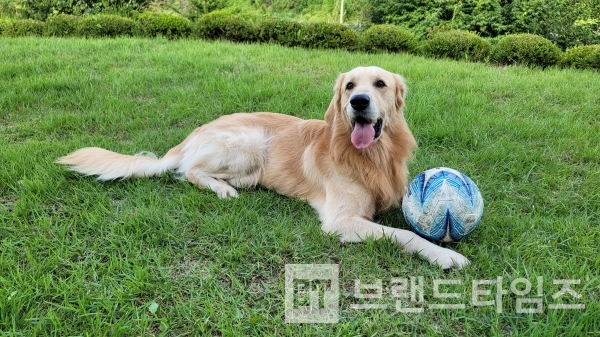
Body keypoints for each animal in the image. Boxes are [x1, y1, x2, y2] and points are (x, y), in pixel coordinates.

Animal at [57, 67, 468, 270]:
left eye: (379, 84)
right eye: (350, 85)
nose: (359, 101)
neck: (371, 157)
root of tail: (193, 133)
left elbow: (409, 216)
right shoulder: (343, 220)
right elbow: (404, 235)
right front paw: (445, 256)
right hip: (251, 143)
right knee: (190, 172)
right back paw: (222, 190)